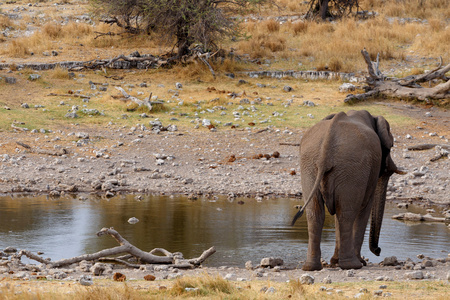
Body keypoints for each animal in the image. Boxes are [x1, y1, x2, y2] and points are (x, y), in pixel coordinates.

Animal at [292, 110, 404, 272]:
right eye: (391, 146)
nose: (378, 251)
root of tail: (327, 144)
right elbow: (364, 207)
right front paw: (360, 262)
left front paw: (334, 262)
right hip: (351, 168)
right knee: (347, 214)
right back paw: (353, 265)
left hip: (310, 165)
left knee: (316, 214)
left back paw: (311, 267)